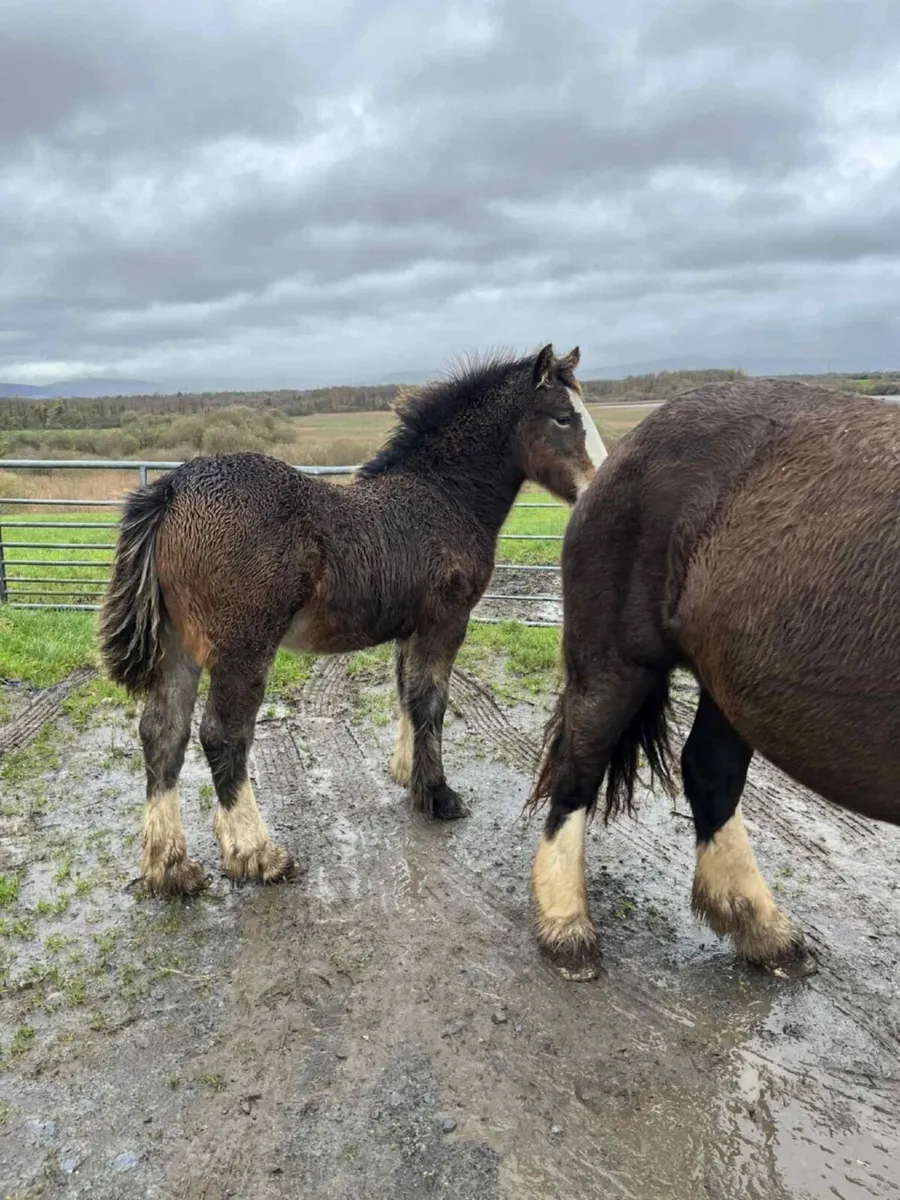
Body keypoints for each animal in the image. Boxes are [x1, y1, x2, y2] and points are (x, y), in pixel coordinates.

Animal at [100, 344, 608, 896]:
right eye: (562, 418)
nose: (600, 487)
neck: (443, 496)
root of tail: (172, 489)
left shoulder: (411, 628)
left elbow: (409, 695)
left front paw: (406, 773)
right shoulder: (446, 621)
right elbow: (433, 701)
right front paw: (438, 795)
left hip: (179, 646)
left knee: (162, 732)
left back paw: (169, 866)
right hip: (244, 648)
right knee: (222, 735)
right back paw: (257, 853)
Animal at [527, 378, 900, 981]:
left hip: (731, 687)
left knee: (709, 771)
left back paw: (759, 925)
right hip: (616, 663)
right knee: (579, 766)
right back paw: (566, 924)